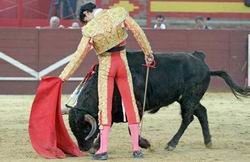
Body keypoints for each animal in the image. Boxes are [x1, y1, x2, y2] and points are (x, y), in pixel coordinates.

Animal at [67, 50, 249, 152]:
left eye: (85, 128)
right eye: (73, 129)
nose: (83, 148)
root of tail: (203, 64)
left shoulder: (137, 106)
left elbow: (130, 128)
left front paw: (145, 144)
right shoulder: (113, 109)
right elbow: (108, 125)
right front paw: (97, 146)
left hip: (189, 98)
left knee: (187, 118)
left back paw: (171, 144)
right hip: (190, 99)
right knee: (202, 113)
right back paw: (208, 141)